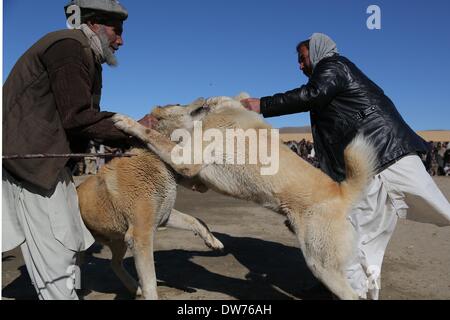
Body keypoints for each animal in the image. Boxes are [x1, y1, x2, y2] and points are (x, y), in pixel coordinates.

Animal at [78, 148, 225, 300]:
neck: (160, 163)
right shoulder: (141, 236)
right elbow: (150, 281)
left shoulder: (164, 216)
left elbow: (195, 220)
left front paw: (213, 241)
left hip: (119, 241)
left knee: (114, 263)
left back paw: (135, 288)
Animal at [111, 93, 376, 300]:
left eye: (176, 102)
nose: (202, 98)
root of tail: (343, 192)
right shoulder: (194, 176)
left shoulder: (187, 159)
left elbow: (151, 134)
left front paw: (127, 122)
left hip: (321, 264)